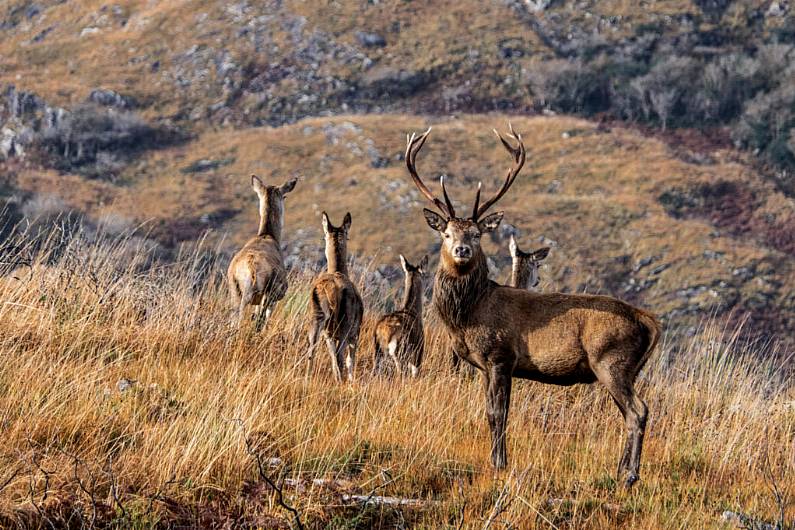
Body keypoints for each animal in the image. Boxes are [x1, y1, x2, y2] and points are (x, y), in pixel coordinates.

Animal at [229, 175, 296, 328]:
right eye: (284, 196)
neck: (269, 235)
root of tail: (250, 269)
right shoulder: (277, 293)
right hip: (265, 291)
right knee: (253, 319)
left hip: (234, 289)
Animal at [308, 210, 364, 380]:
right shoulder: (355, 331)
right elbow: (350, 359)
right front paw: (352, 380)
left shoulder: (330, 333)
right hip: (345, 322)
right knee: (340, 355)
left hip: (318, 317)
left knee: (312, 348)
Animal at [404, 125, 660, 486]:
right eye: (446, 233)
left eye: (477, 234)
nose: (461, 250)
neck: (468, 316)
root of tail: (648, 320)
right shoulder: (483, 365)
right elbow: (488, 412)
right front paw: (497, 459)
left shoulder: (501, 356)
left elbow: (499, 413)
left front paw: (499, 463)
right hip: (626, 367)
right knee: (630, 413)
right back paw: (620, 470)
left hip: (613, 360)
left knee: (639, 411)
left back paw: (630, 476)